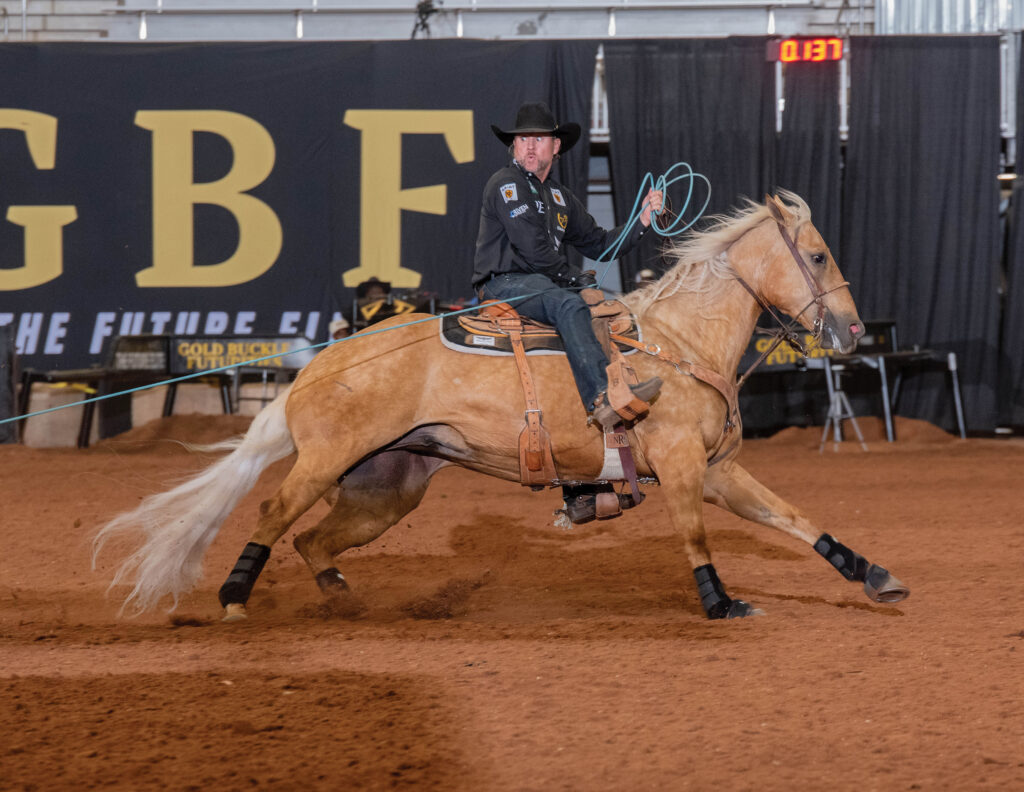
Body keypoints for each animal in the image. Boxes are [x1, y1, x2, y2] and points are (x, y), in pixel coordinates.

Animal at [94, 192, 909, 621]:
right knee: (272, 515)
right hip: (326, 461)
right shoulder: (680, 466)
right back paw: (235, 594)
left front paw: (874, 576)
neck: (678, 340)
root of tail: (317, 366)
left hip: (386, 489)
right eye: (817, 256)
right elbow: (695, 537)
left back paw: (343, 600)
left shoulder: (716, 470)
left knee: (315, 542)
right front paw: (721, 604)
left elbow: (794, 518)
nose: (852, 332)